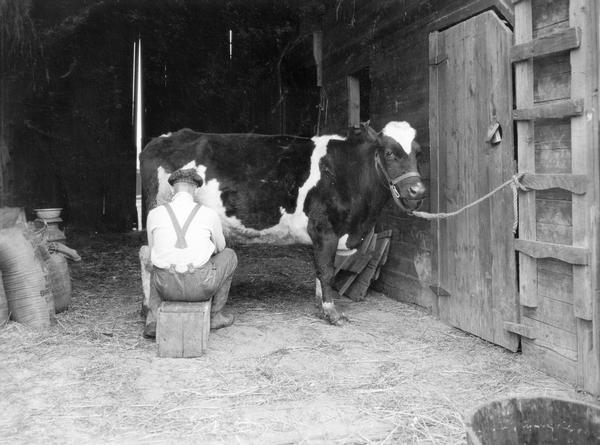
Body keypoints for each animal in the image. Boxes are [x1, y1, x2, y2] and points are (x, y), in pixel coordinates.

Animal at [139, 120, 426, 322]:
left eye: (418, 153)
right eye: (389, 153)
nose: (418, 191)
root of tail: (162, 139)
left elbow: (322, 270)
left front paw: (321, 303)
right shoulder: (324, 229)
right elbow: (326, 270)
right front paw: (331, 312)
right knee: (146, 257)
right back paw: (146, 306)